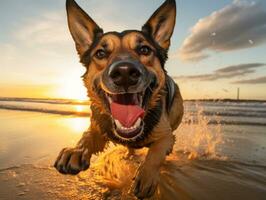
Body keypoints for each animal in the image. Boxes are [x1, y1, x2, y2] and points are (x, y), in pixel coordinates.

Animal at [54, 0, 183, 198]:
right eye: (100, 53)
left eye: (144, 49)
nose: (124, 73)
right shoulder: (99, 128)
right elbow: (87, 136)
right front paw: (77, 150)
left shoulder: (166, 135)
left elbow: (156, 152)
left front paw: (146, 175)